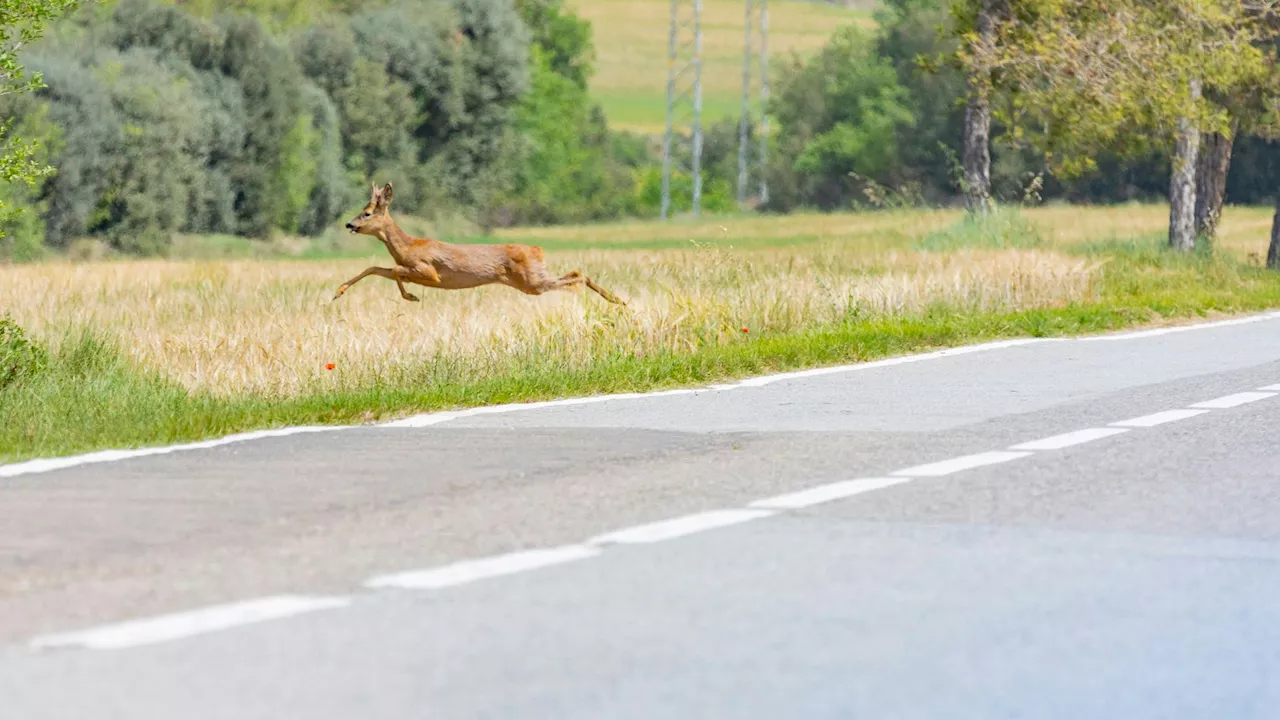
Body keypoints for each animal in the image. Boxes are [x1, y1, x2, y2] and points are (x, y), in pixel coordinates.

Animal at [335, 181, 624, 304]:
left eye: (367, 213)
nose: (349, 224)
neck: (407, 246)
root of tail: (537, 250)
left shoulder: (428, 271)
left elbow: (394, 271)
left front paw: (411, 297)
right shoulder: (409, 270)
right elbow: (376, 268)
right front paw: (338, 291)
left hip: (531, 281)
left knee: (577, 275)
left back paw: (616, 301)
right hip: (532, 279)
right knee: (576, 272)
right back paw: (616, 301)